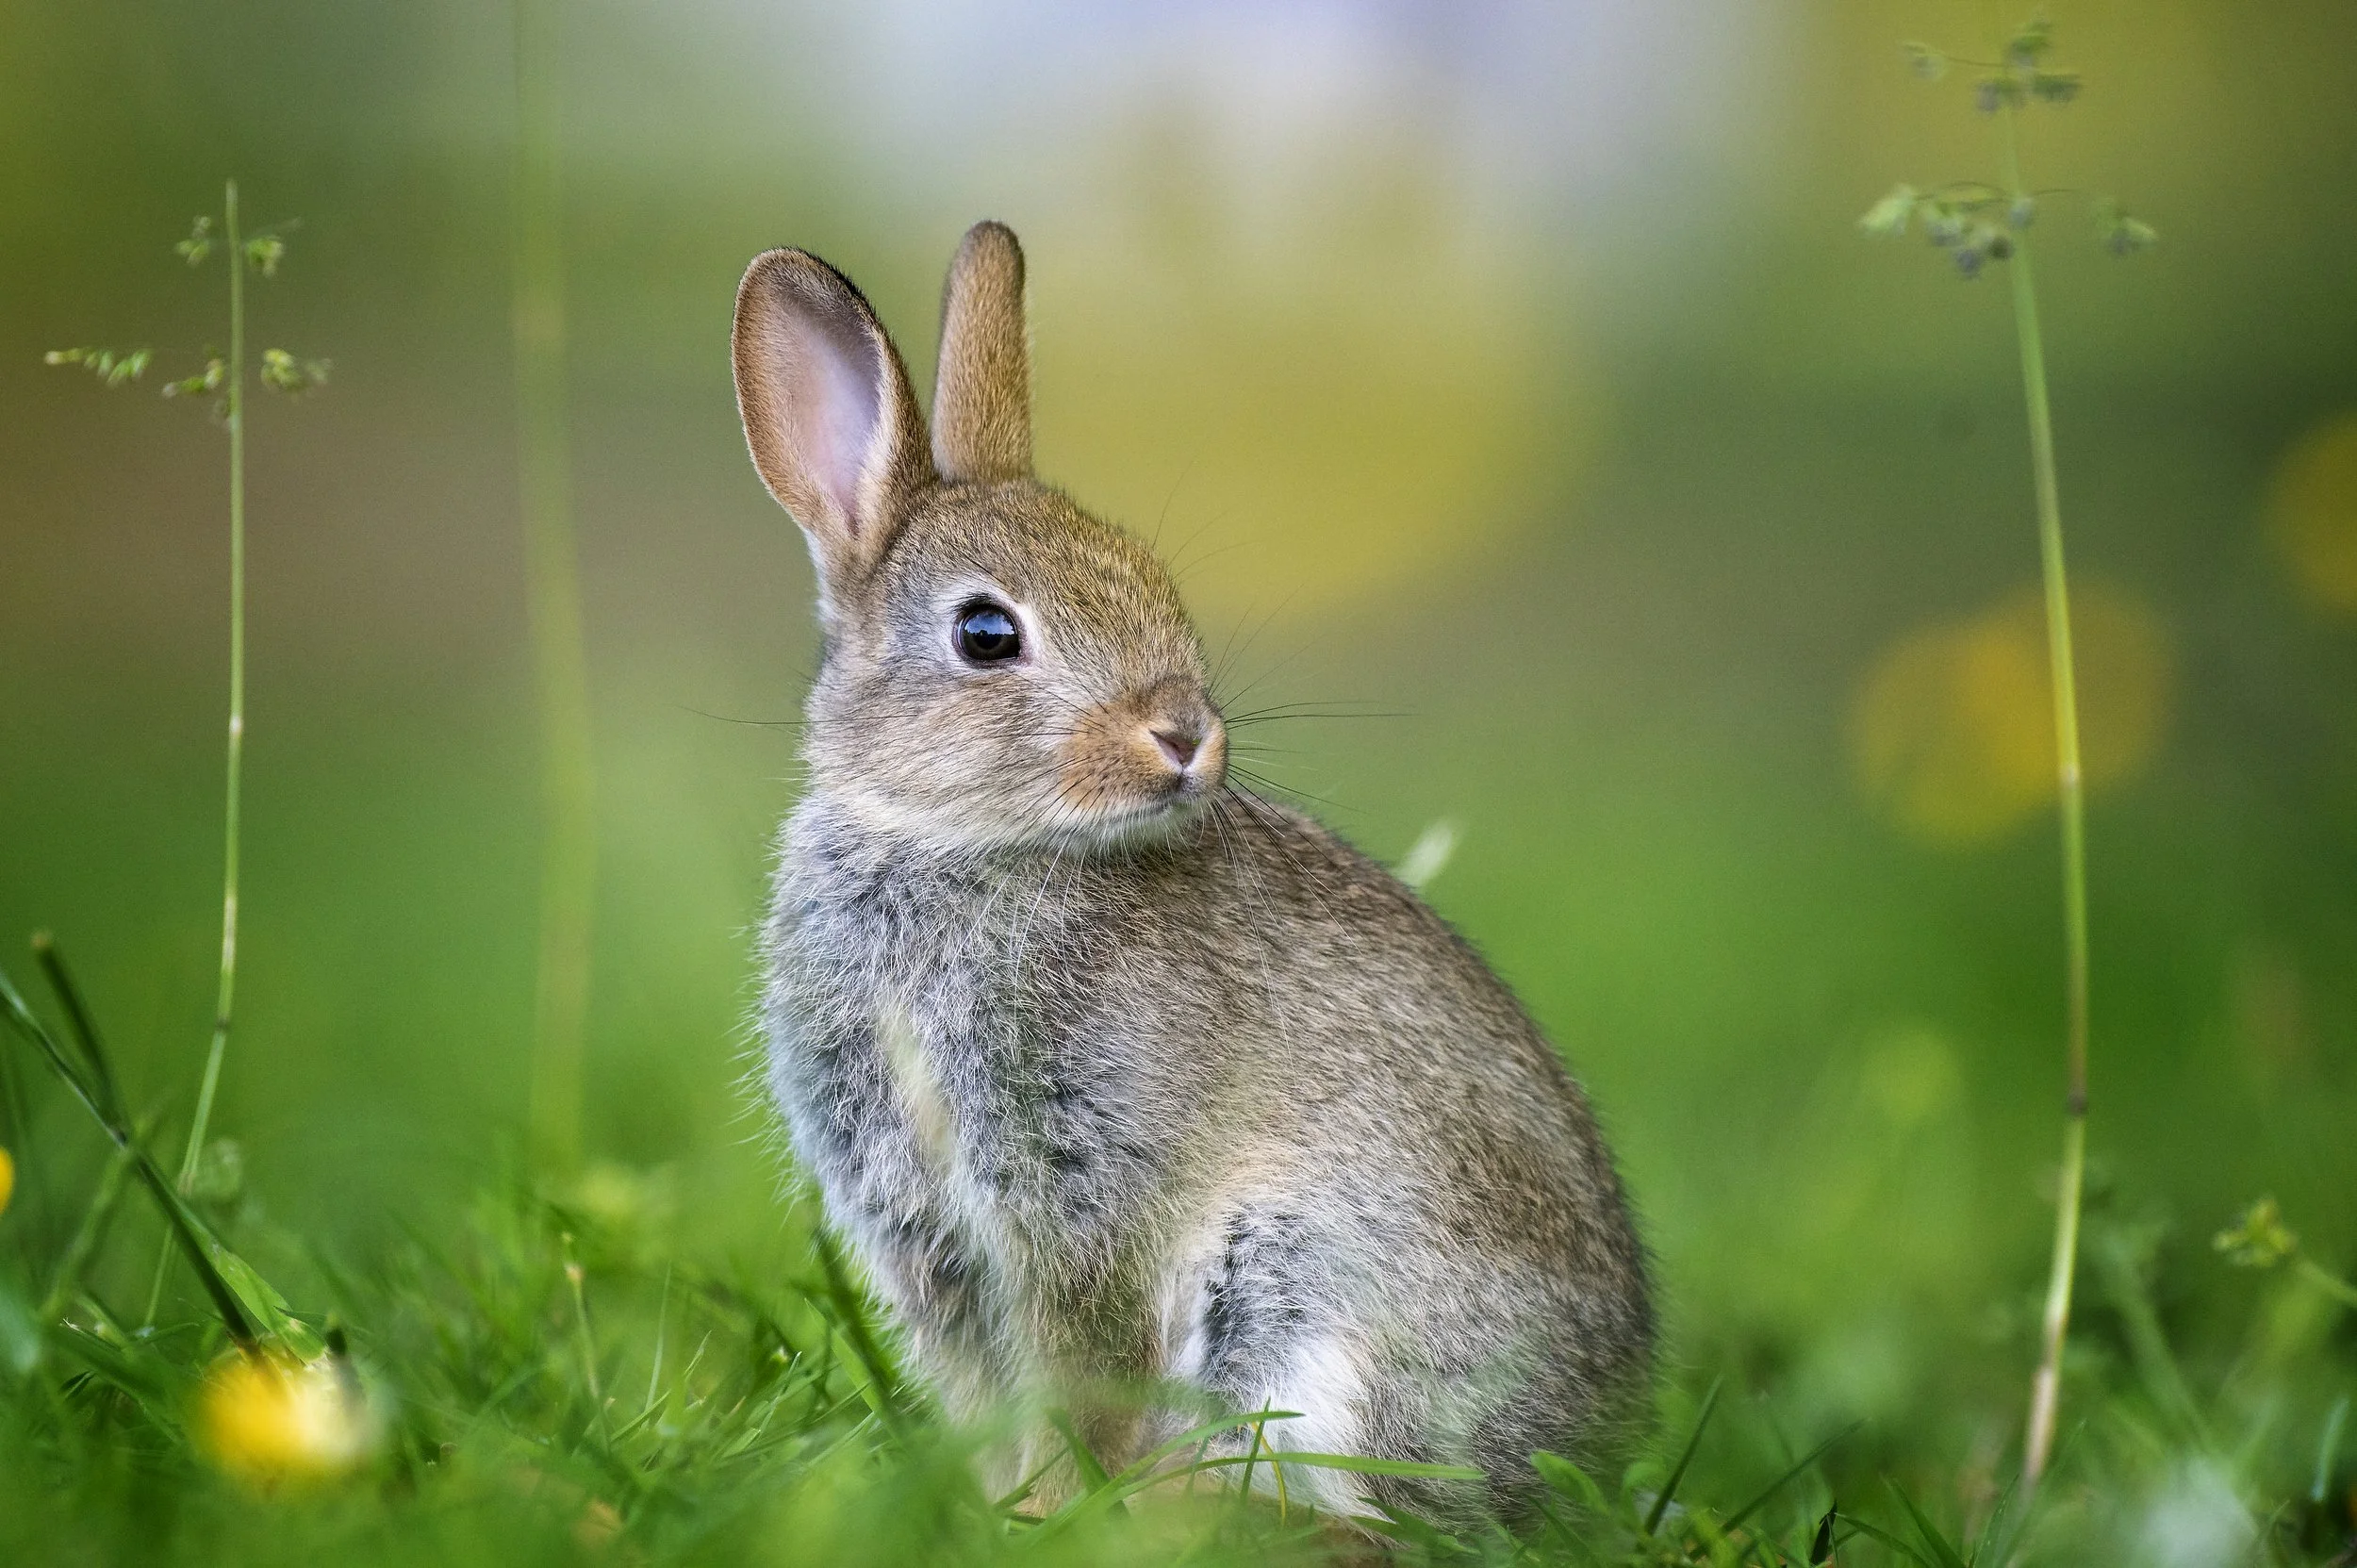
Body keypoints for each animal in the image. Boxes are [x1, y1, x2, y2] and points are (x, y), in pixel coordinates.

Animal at [734, 220, 1653, 1529]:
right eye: (985, 634)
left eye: (1156, 585)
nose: (1185, 736)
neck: (962, 845)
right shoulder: (934, 1237)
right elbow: (988, 1386)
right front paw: (1007, 1506)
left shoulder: (1086, 1195)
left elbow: (1086, 1371)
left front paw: (1053, 1515)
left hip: (1308, 1297)